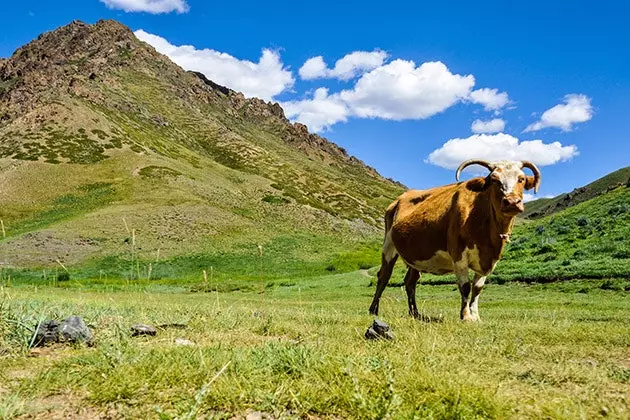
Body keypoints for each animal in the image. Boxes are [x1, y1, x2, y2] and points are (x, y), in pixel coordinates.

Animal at [370, 159, 544, 320]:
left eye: (521, 179)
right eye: (494, 179)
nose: (512, 202)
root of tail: (398, 200)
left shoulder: (488, 260)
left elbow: (477, 288)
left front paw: (476, 317)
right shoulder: (458, 254)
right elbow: (465, 287)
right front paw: (465, 316)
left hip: (416, 255)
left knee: (410, 282)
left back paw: (415, 313)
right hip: (388, 245)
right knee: (384, 276)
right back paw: (373, 309)